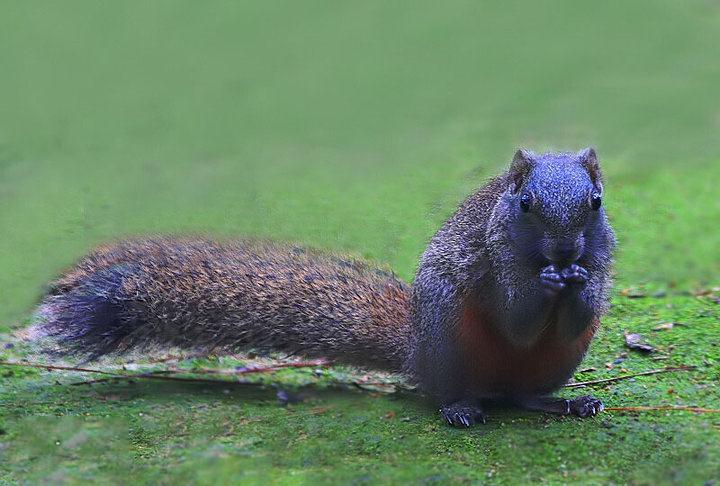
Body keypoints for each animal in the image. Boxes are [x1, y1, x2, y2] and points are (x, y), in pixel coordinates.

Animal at [26, 147, 612, 426]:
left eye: (597, 201)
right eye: (525, 203)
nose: (565, 254)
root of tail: (417, 353)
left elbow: (581, 308)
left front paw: (579, 285)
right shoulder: (496, 257)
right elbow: (516, 316)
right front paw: (549, 283)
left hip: (558, 361)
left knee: (521, 392)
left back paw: (559, 403)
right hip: (449, 336)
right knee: (450, 390)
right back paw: (459, 408)